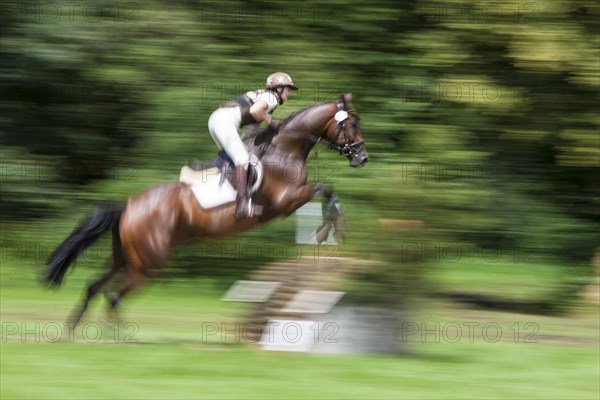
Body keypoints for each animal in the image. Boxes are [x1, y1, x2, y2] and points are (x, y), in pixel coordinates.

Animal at [47, 92, 368, 324]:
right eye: (352, 124)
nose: (363, 158)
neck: (285, 148)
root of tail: (128, 205)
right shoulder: (285, 202)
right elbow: (326, 189)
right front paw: (328, 230)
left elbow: (327, 191)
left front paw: (331, 230)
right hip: (150, 261)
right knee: (113, 296)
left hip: (128, 257)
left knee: (95, 287)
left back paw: (73, 330)